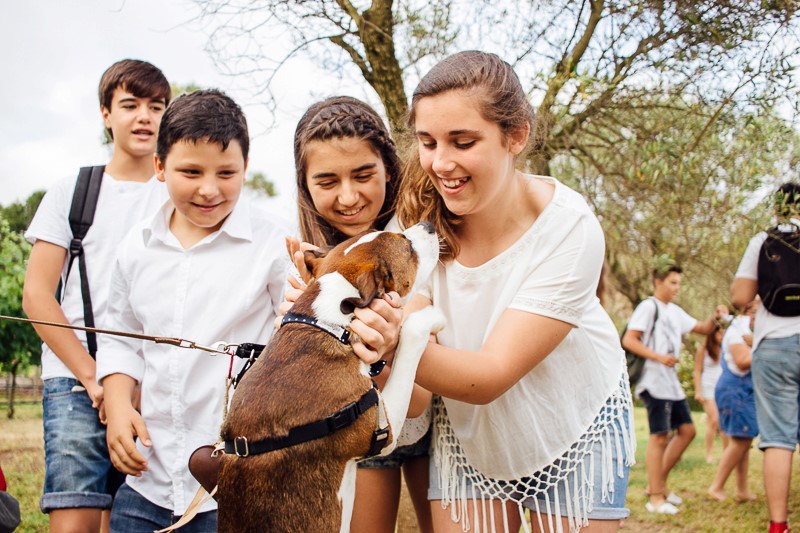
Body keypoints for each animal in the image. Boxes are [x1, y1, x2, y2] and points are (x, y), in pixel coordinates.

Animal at [216, 221, 446, 532]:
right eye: (407, 246)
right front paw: (432, 317)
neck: (325, 325)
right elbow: (411, 333)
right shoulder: (385, 430)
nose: (428, 224)